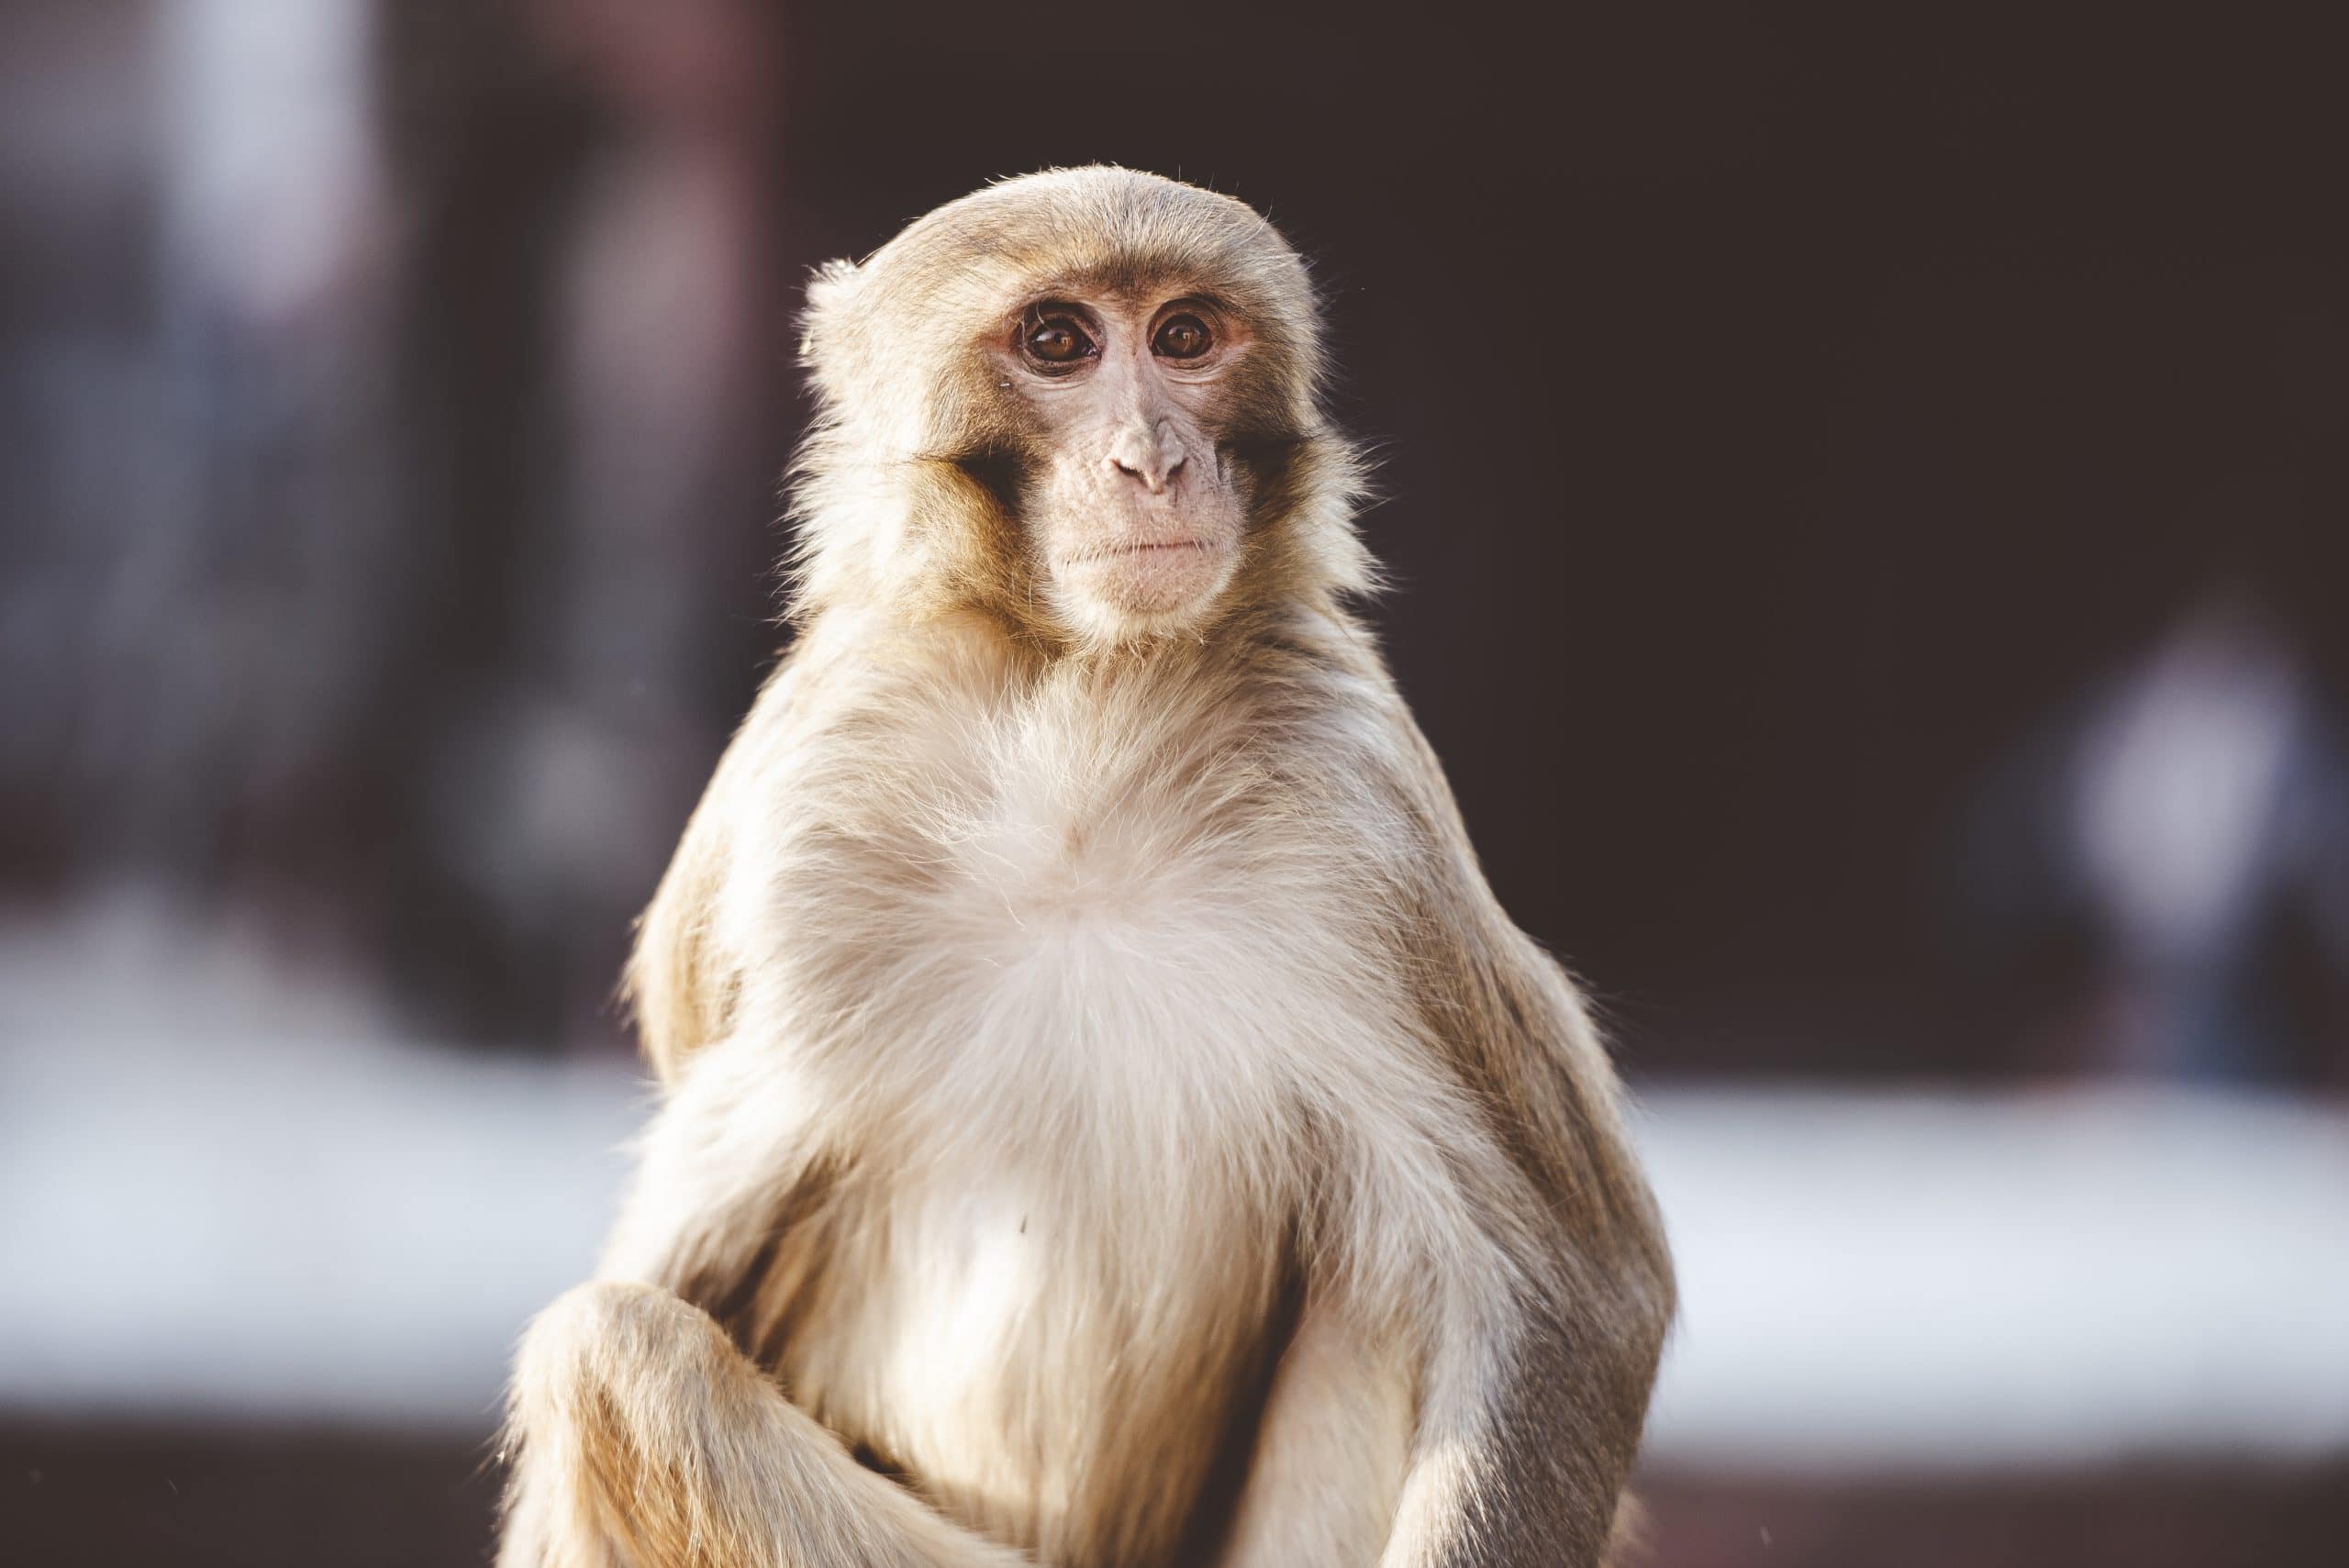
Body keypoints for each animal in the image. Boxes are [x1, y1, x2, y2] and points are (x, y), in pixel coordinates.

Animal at [500, 165, 1672, 1558]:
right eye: (1059, 340)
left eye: (1185, 336)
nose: (1154, 459)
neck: (1077, 724)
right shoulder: (801, 820)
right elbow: (658, 1275)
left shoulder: (1359, 806)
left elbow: (1572, 1287)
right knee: (612, 1343)